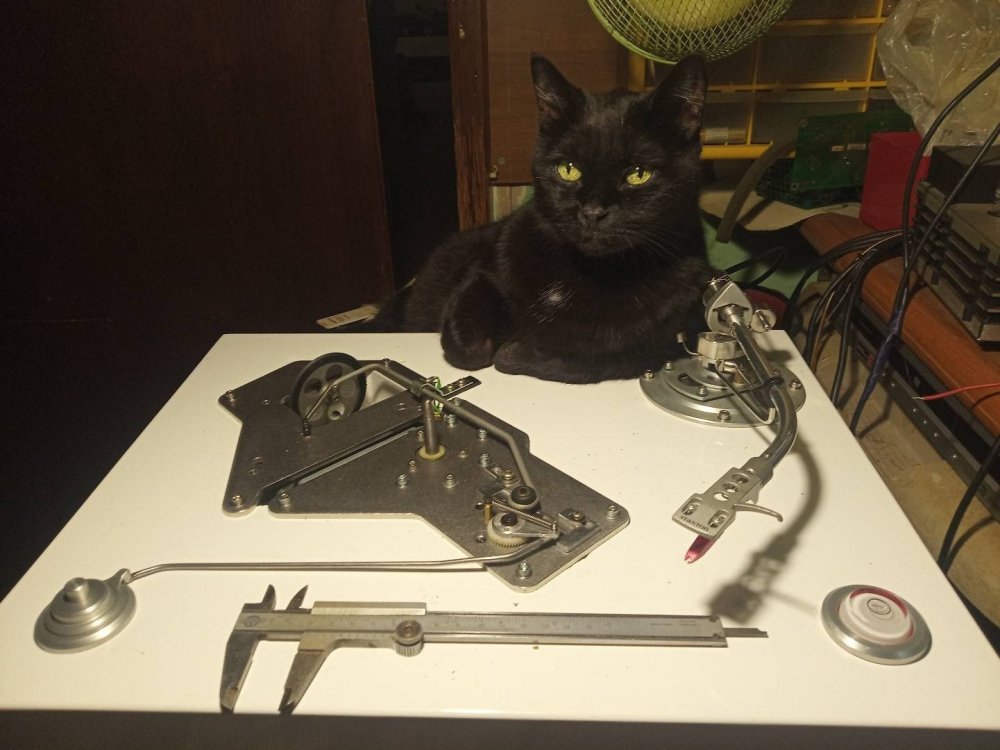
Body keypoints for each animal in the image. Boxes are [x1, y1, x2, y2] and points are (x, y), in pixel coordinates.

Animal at [375, 54, 714, 384]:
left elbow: (578, 359)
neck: (586, 270)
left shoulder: (659, 345)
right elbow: (466, 345)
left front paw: (514, 351)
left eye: (638, 174)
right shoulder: (486, 272)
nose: (592, 211)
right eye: (568, 169)